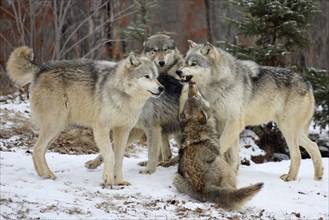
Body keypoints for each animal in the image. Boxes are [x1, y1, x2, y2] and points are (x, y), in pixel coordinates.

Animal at [6, 45, 163, 186]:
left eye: (156, 77)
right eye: (146, 76)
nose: (162, 88)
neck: (124, 95)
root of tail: (40, 69)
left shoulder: (123, 130)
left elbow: (119, 158)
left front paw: (119, 181)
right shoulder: (101, 128)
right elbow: (109, 154)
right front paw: (108, 180)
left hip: (57, 129)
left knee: (38, 150)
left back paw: (43, 174)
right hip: (55, 125)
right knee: (38, 149)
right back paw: (48, 175)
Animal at [84, 33, 184, 174]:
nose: (162, 89)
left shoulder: (152, 128)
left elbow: (152, 152)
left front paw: (149, 170)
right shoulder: (135, 129)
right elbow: (112, 146)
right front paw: (93, 163)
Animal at [172, 82, 262, 210]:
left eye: (194, 97)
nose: (190, 83)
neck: (196, 127)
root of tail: (205, 188)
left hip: (176, 177)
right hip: (222, 164)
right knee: (232, 188)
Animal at [176, 40, 324, 181]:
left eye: (193, 64)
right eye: (185, 62)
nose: (178, 71)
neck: (219, 82)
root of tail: (308, 83)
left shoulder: (234, 124)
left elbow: (221, 147)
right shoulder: (225, 124)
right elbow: (233, 156)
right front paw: (232, 173)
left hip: (287, 129)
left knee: (297, 154)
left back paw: (290, 177)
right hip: (290, 130)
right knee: (314, 146)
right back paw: (318, 176)